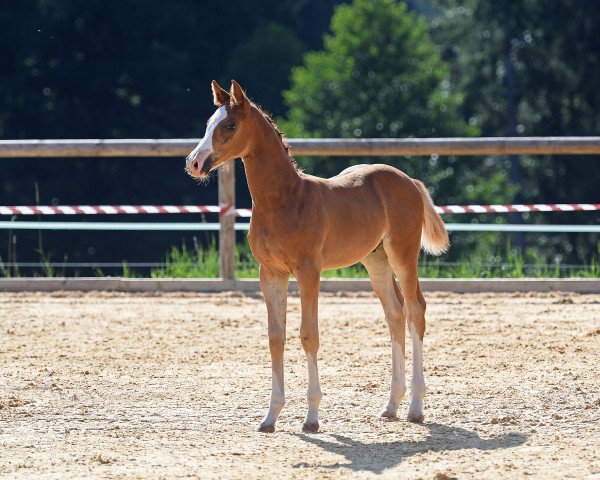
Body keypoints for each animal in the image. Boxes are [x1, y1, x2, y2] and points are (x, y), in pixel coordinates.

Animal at [185, 80, 448, 434]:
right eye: (208, 123)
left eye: (229, 126)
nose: (194, 163)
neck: (284, 201)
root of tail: (410, 181)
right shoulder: (271, 273)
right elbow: (276, 336)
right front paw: (270, 417)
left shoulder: (308, 271)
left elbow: (308, 335)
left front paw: (311, 418)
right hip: (375, 260)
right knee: (395, 313)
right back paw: (391, 406)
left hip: (402, 255)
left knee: (416, 311)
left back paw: (416, 409)